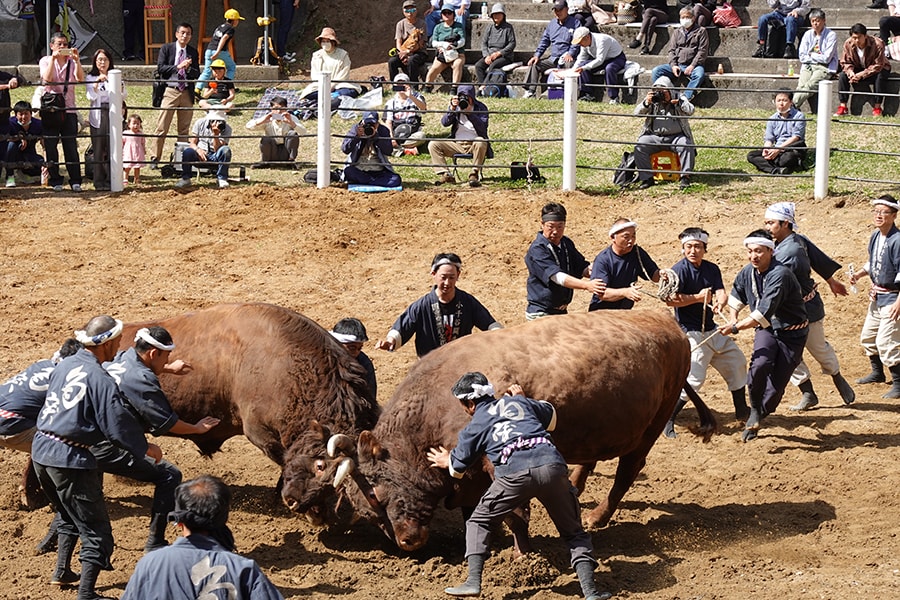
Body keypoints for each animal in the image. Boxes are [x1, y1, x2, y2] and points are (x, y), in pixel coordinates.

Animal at [342, 312, 716, 552]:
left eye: (378, 493)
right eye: (371, 513)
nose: (407, 542)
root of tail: (668, 324)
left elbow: (514, 514)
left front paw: (522, 555)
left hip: (651, 428)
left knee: (627, 472)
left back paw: (597, 516)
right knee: (591, 461)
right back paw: (576, 487)